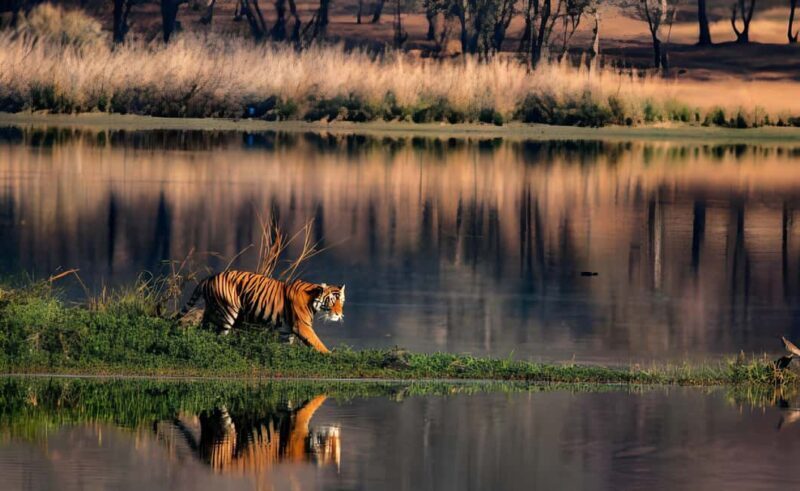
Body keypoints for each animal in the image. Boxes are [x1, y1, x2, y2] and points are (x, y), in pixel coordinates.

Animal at [175, 271, 345, 354]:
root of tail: (209, 278)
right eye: (331, 301)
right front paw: (330, 354)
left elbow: (285, 348)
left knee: (202, 331)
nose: (339, 314)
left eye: (341, 301)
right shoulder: (302, 326)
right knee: (218, 336)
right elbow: (317, 343)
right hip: (228, 312)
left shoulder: (286, 331)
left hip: (211, 312)